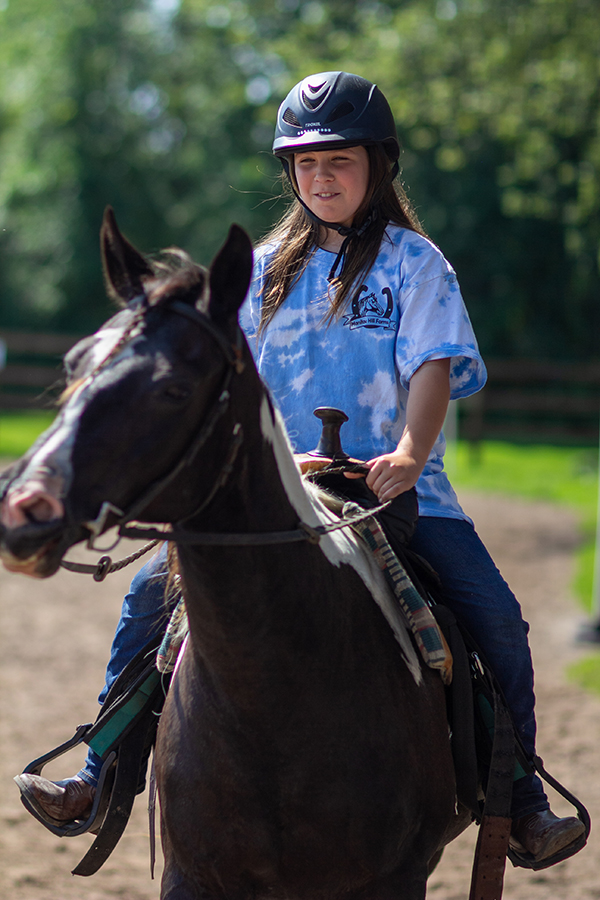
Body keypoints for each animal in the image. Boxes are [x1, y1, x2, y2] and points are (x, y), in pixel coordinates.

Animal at [0, 209, 468, 892]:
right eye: (76, 363)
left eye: (172, 388)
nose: (25, 506)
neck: (274, 695)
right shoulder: (192, 874)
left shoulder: (396, 877)